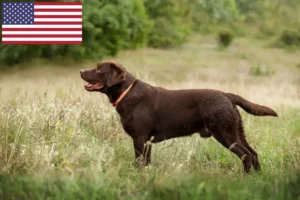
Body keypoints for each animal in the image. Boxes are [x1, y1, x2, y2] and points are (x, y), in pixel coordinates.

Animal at [80, 59, 278, 172]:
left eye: (99, 69)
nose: (81, 71)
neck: (127, 93)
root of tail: (227, 95)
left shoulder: (140, 138)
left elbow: (139, 161)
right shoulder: (147, 141)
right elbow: (147, 162)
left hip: (225, 133)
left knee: (246, 155)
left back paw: (244, 177)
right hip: (236, 131)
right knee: (254, 153)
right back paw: (258, 177)